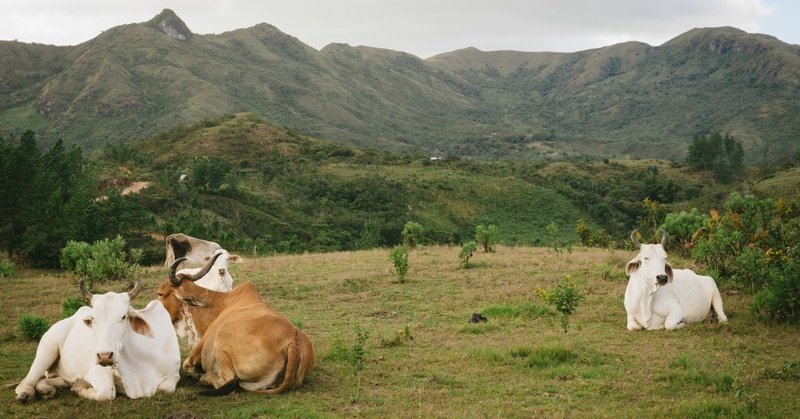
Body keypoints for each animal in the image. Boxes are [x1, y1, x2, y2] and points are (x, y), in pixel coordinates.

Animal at [158, 254, 314, 396]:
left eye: (161, 294)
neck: (218, 303)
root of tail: (294, 343)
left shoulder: (194, 356)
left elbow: (188, 366)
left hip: (222, 342)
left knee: (227, 381)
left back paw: (205, 377)